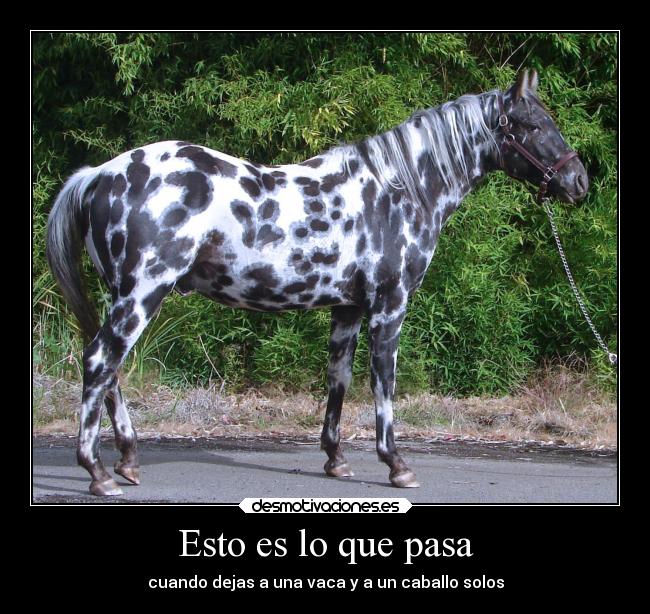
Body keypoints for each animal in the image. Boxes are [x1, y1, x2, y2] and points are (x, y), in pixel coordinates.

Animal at [46, 69, 588, 496]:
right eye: (534, 125)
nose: (579, 182)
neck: (397, 190)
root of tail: (100, 174)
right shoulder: (389, 306)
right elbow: (383, 382)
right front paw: (396, 464)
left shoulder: (347, 308)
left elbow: (338, 379)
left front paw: (336, 459)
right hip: (141, 295)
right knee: (98, 363)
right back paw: (98, 473)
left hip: (122, 296)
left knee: (111, 372)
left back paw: (127, 461)